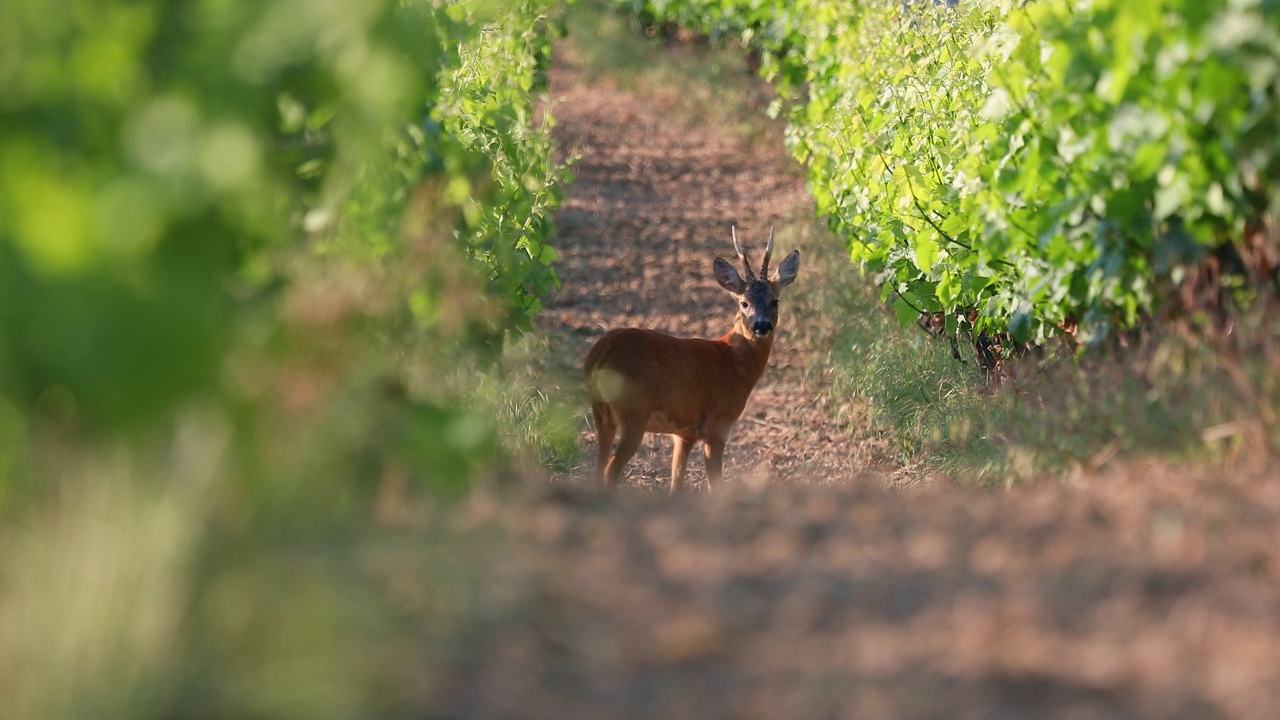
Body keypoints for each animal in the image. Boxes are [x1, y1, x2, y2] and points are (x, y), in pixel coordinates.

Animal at [583, 226, 798, 489]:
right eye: (744, 303)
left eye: (774, 301)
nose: (762, 326)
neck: (734, 359)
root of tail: (601, 352)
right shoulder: (717, 425)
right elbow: (715, 485)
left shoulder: (684, 433)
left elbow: (676, 482)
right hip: (633, 410)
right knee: (609, 471)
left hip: (601, 412)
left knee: (598, 468)